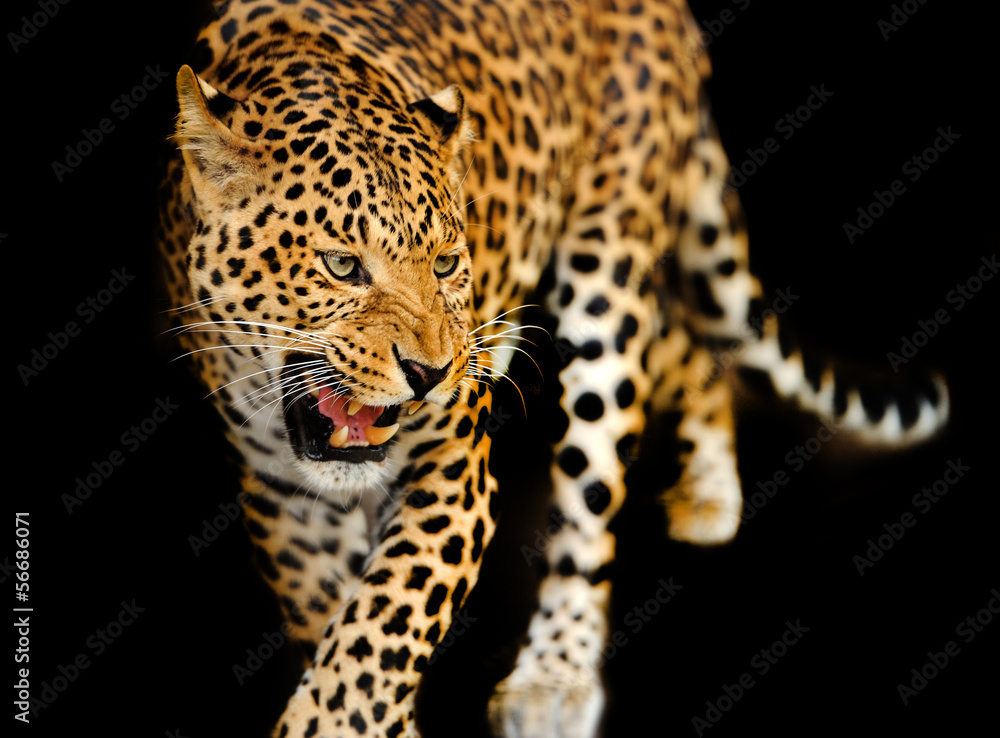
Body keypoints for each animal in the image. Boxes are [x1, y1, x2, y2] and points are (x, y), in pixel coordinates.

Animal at [156, 1, 950, 736]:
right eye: (341, 265)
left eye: (445, 263)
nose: (431, 374)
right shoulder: (281, 495)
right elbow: (342, 626)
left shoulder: (455, 470)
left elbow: (380, 629)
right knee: (683, 342)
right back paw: (709, 485)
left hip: (607, 274)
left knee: (593, 494)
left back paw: (555, 673)